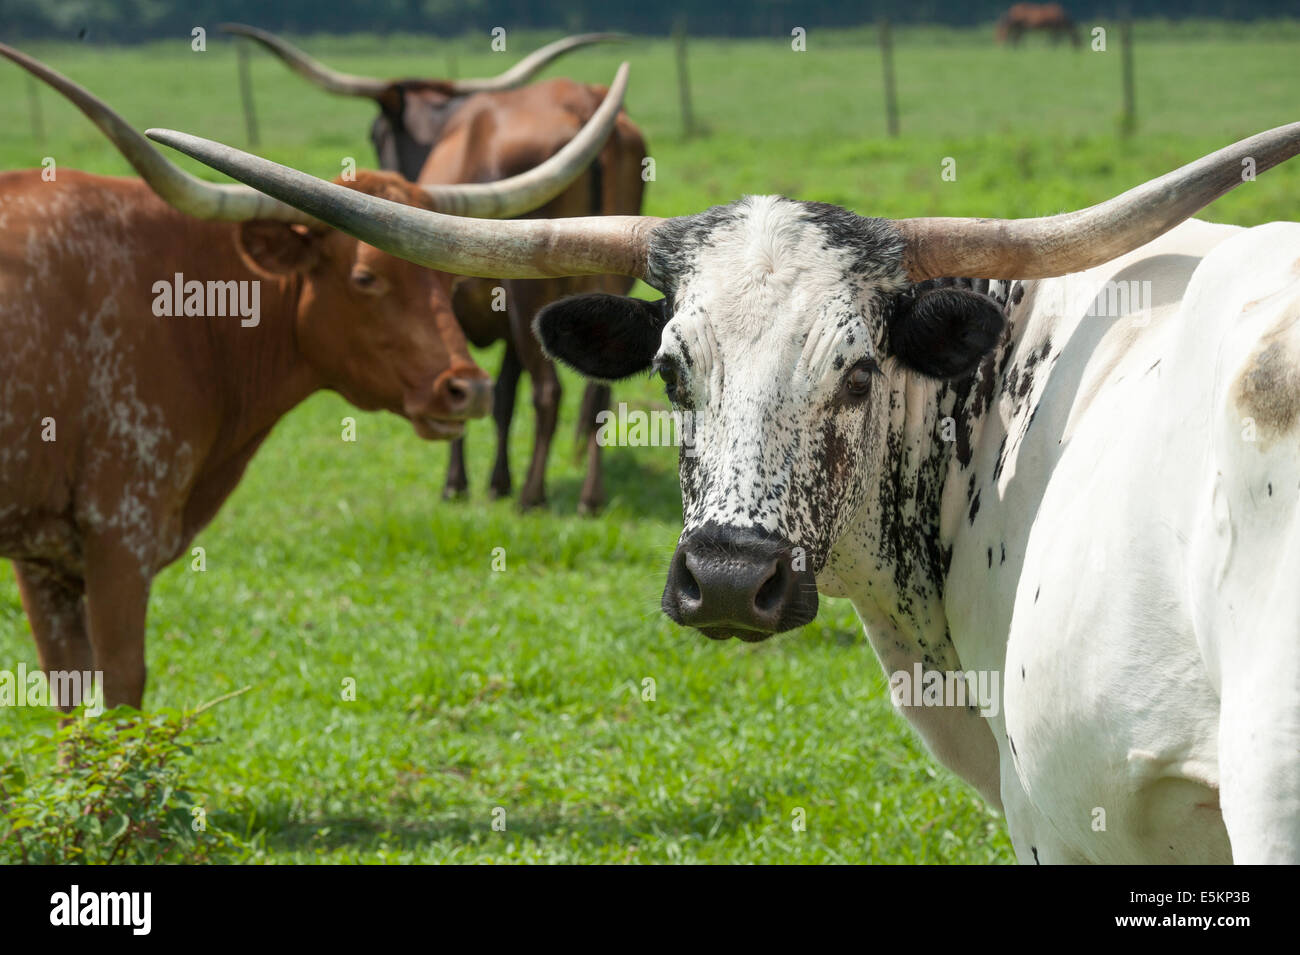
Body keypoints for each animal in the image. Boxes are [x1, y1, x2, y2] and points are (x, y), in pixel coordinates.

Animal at [228, 26, 650, 511]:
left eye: (376, 132)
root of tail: (582, 103)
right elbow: (501, 397)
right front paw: (497, 481)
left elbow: (462, 387)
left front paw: (458, 484)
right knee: (598, 390)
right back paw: (590, 496)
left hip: (530, 294)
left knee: (548, 391)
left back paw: (532, 495)